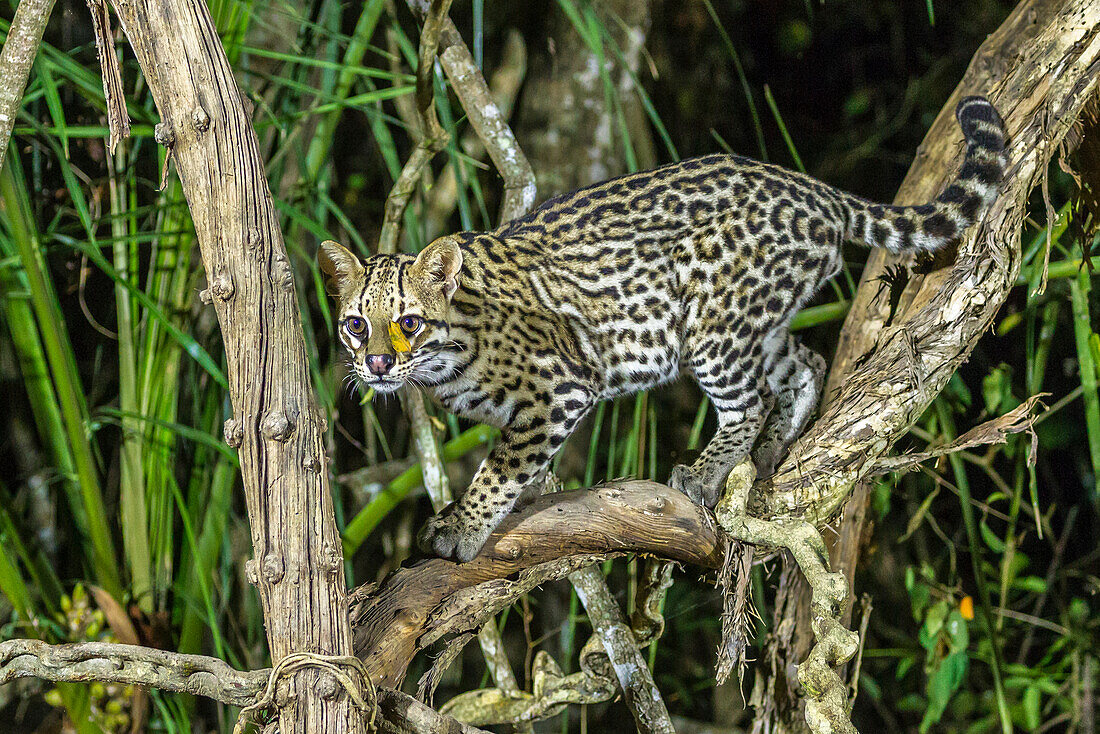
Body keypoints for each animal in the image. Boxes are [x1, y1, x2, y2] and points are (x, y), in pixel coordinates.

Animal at [316, 94, 1007, 559]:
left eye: (408, 322)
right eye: (355, 325)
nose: (376, 364)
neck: (446, 359)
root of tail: (817, 190)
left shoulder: (563, 384)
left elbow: (500, 467)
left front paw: (463, 526)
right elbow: (523, 465)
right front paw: (515, 500)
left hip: (712, 322)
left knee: (751, 399)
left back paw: (709, 469)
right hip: (757, 320)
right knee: (804, 366)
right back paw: (772, 447)